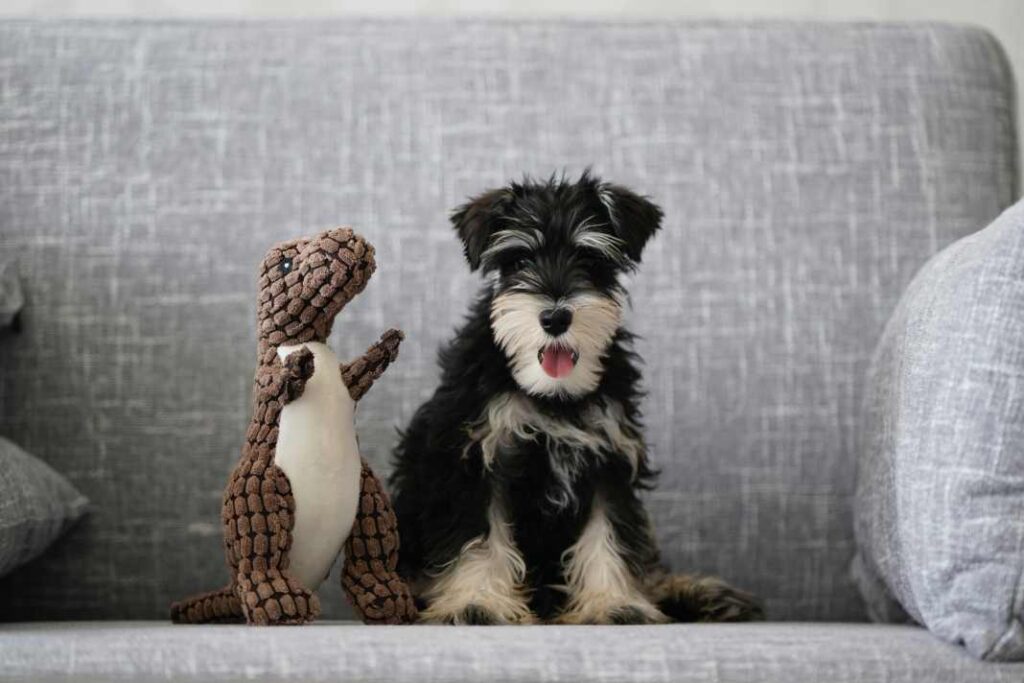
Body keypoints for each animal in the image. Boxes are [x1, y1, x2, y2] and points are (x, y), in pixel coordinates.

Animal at [389, 172, 761, 626]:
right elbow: (478, 539)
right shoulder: (474, 460)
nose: (554, 317)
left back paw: (706, 595)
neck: (553, 396)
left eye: (589, 259)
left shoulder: (609, 461)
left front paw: (614, 603)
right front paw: (477, 602)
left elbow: (608, 536)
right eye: (520, 261)